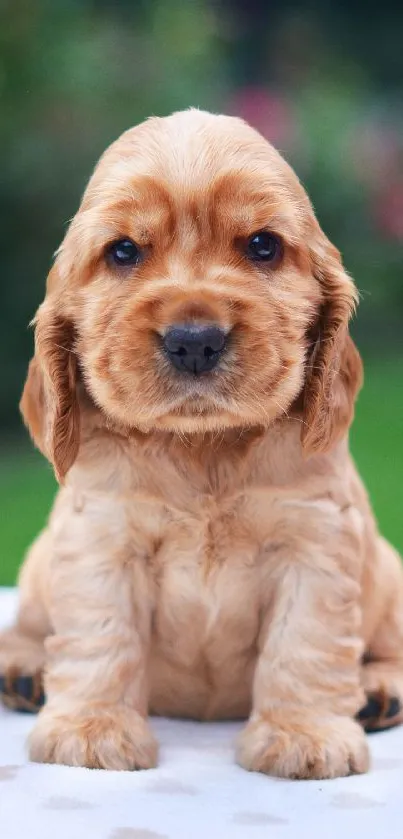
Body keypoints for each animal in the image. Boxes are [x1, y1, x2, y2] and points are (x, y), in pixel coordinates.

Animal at [0, 110, 403, 780]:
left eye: (263, 245)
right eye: (123, 251)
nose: (194, 340)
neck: (202, 447)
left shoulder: (315, 543)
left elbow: (304, 643)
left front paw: (303, 736)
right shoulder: (102, 540)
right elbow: (101, 636)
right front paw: (91, 730)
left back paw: (378, 692)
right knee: (31, 624)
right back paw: (25, 671)